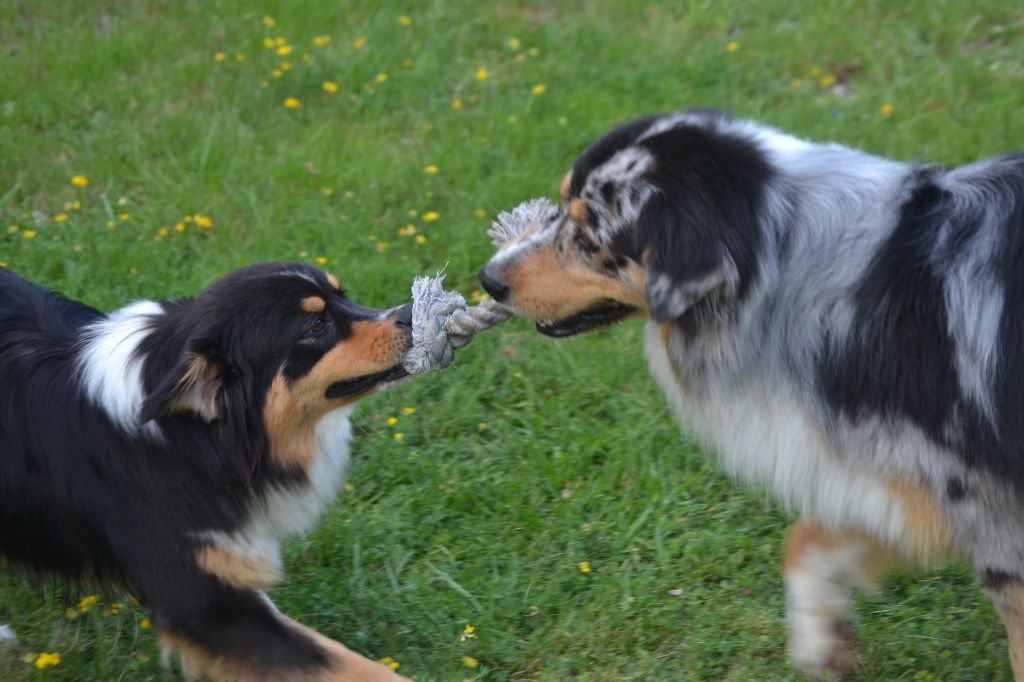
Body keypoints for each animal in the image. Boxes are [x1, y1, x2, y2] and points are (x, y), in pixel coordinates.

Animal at [1, 261, 407, 679]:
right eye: (316, 325)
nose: (410, 314)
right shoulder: (206, 603)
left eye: (343, 295)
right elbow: (342, 662)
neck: (196, 441)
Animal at [479, 109, 1024, 675]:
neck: (784, 261)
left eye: (590, 236)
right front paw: (821, 637)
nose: (487, 277)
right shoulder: (908, 481)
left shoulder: (986, 508)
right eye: (561, 203)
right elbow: (805, 539)